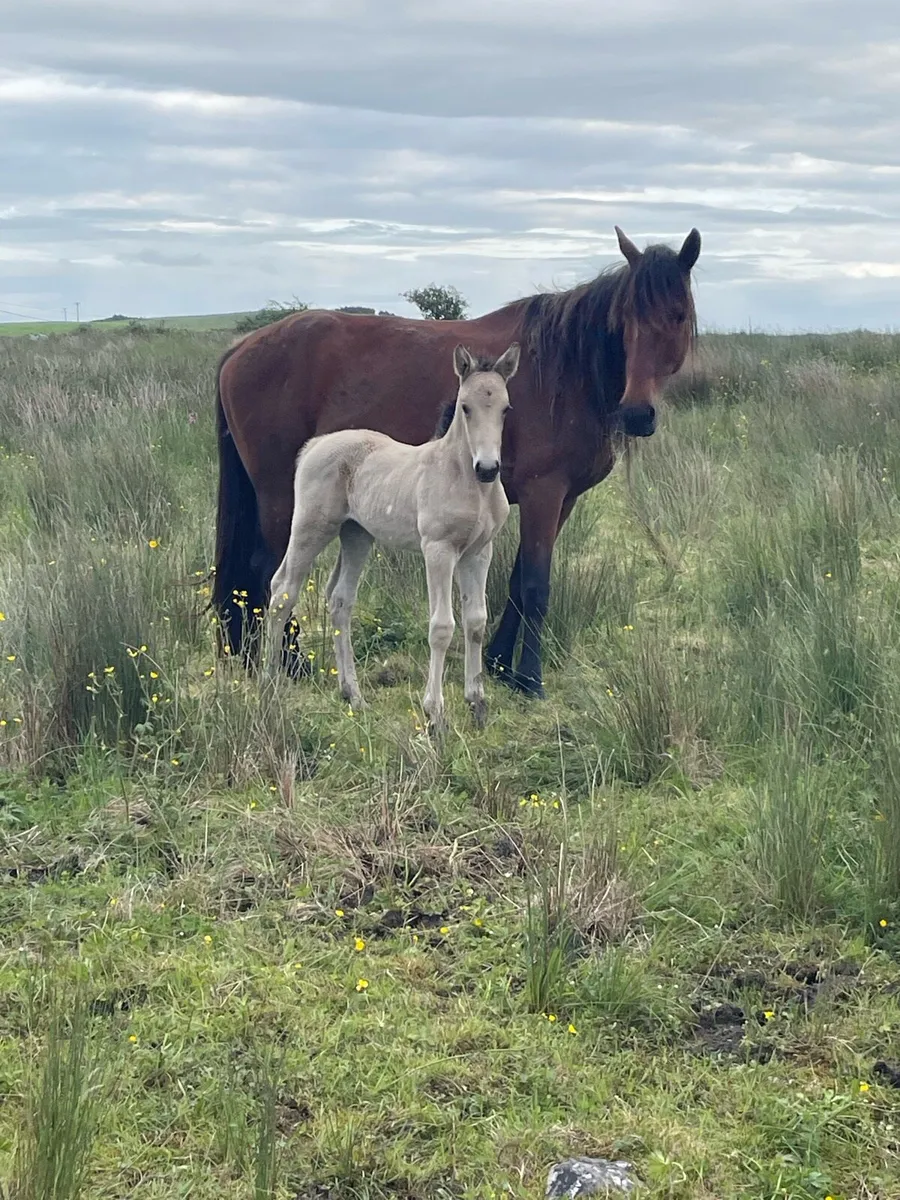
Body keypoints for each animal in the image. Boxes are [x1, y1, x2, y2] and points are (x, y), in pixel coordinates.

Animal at [265, 343, 520, 731]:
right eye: (465, 407)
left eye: (505, 408)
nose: (488, 469)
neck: (466, 480)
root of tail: (315, 445)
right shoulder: (439, 550)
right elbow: (442, 626)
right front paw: (435, 713)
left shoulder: (478, 552)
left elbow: (476, 622)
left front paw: (477, 703)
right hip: (311, 527)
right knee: (282, 591)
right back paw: (269, 685)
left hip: (356, 536)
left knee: (340, 600)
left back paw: (353, 694)